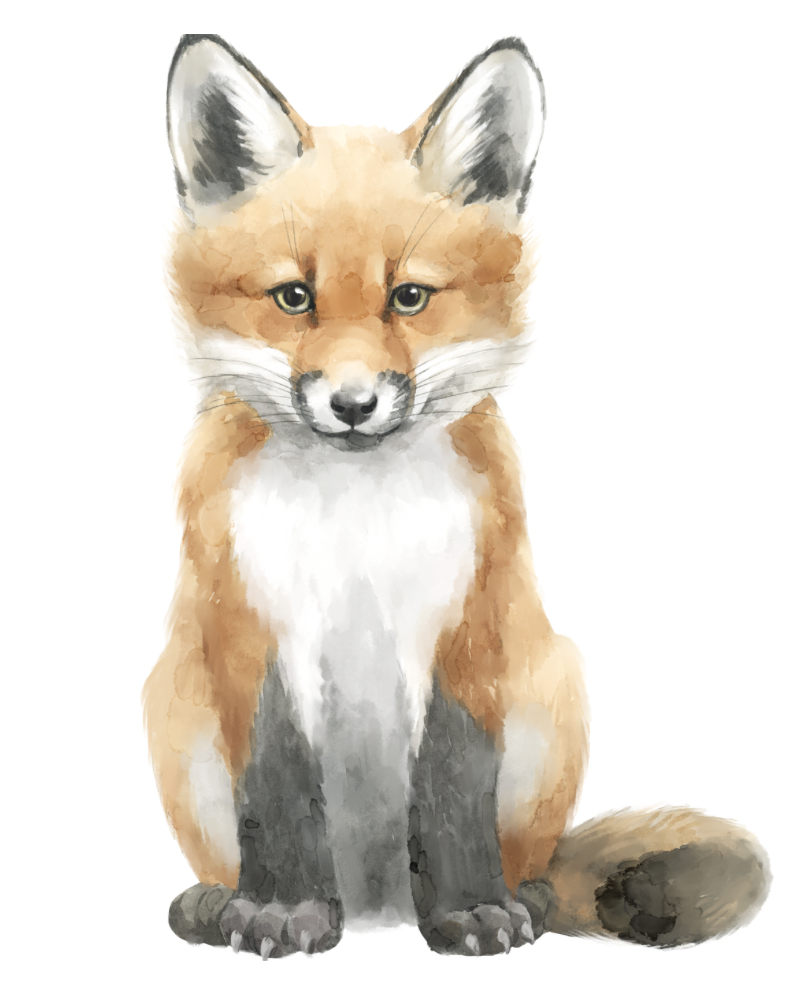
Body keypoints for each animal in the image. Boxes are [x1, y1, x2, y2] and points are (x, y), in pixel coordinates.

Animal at [144, 33, 770, 958]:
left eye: (409, 297)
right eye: (295, 298)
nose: (354, 403)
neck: (356, 524)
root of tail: (377, 908)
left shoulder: (469, 628)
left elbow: (450, 789)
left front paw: (472, 911)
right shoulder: (251, 630)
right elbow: (280, 791)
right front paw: (284, 909)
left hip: (553, 688)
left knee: (535, 864)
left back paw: (520, 898)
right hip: (175, 708)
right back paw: (219, 903)